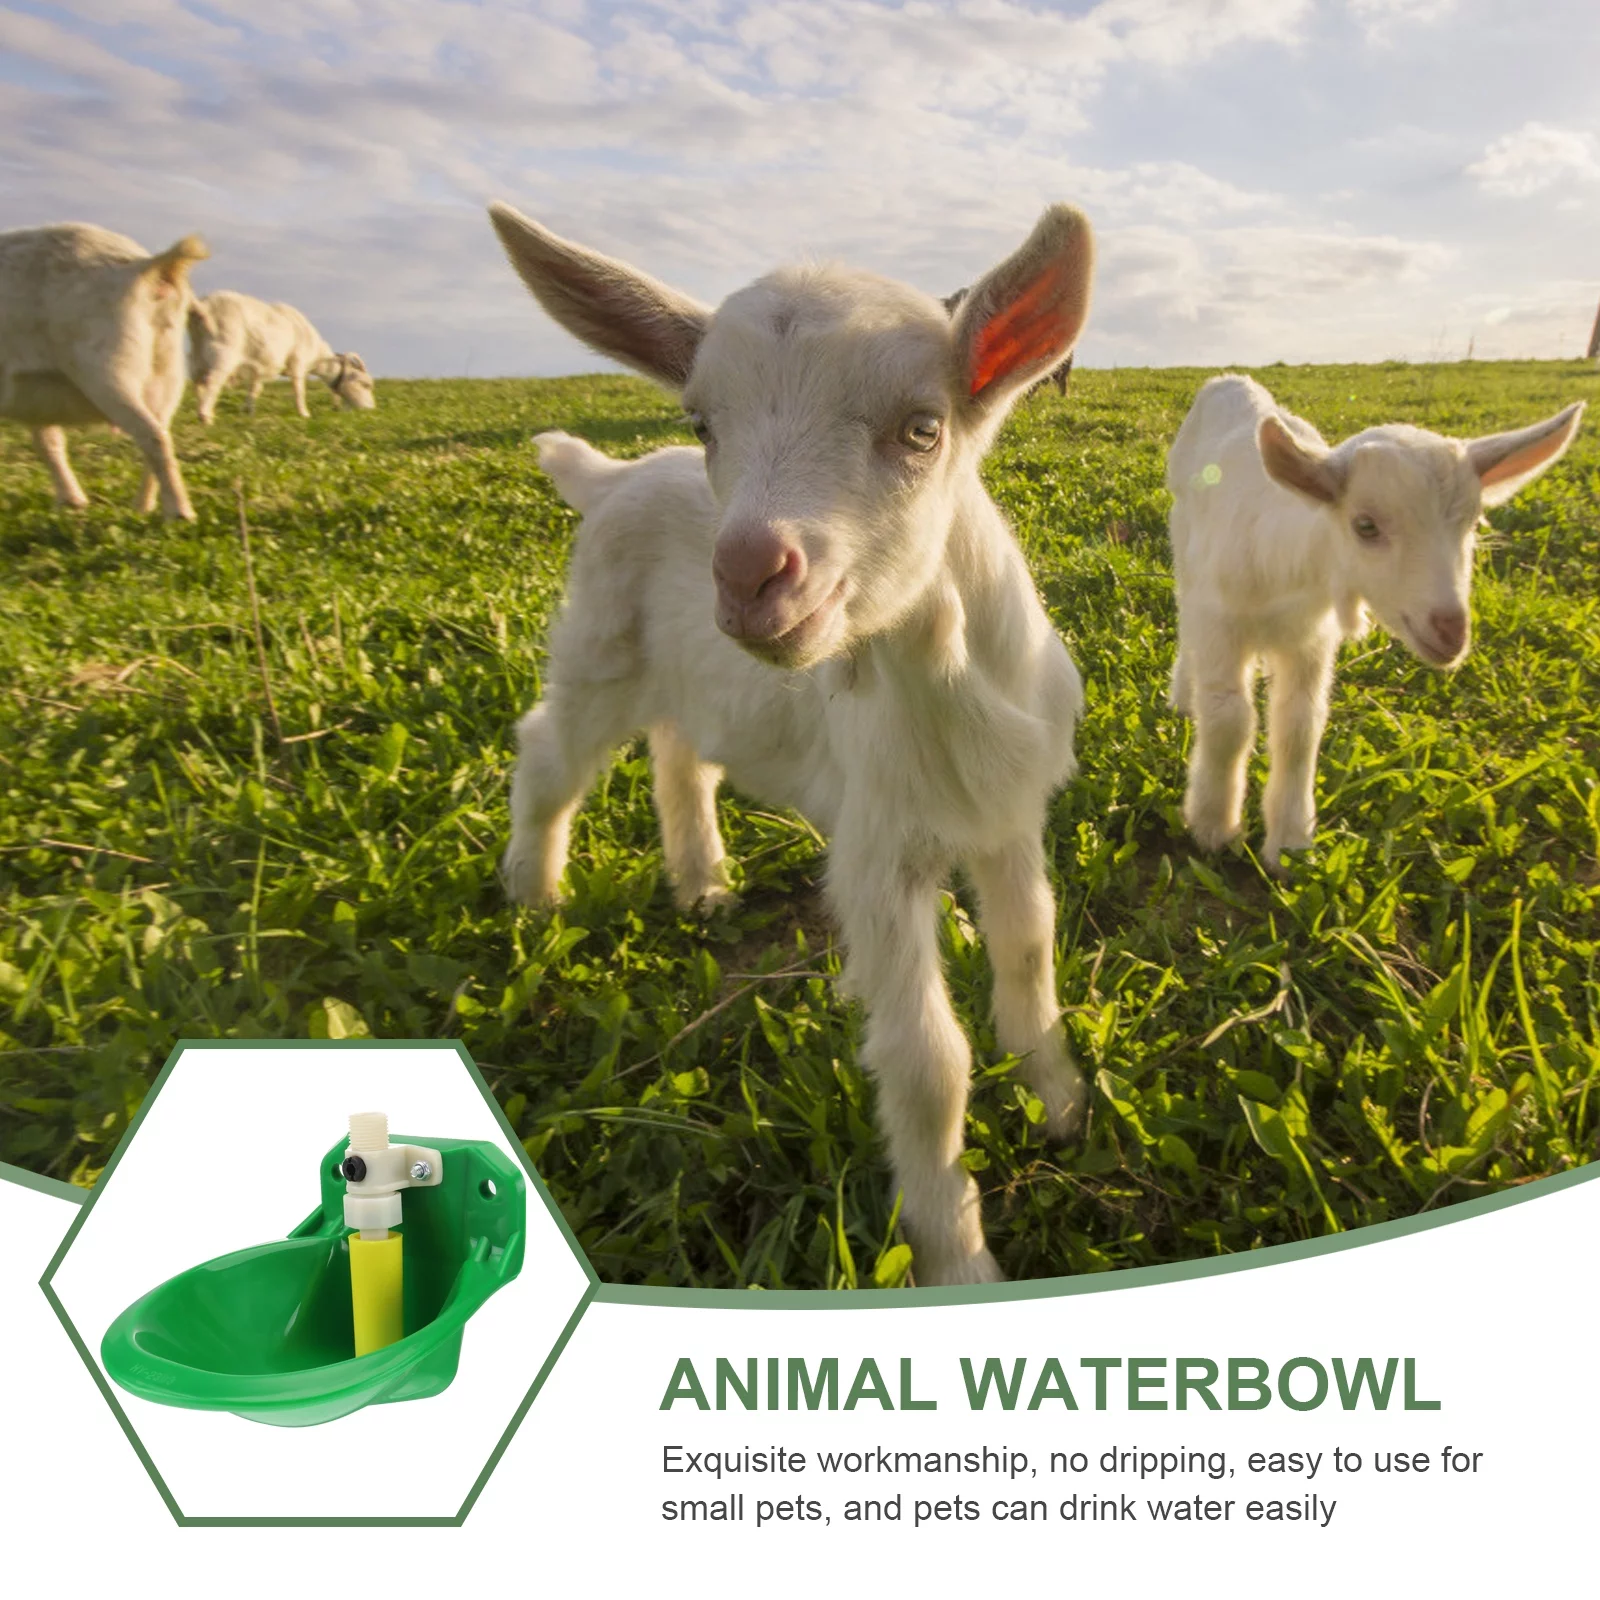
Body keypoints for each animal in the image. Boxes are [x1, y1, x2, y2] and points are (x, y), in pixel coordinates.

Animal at [0, 222, 208, 520]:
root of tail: (147, 267)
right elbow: (48, 441)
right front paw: (72, 503)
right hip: (167, 371)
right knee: (161, 430)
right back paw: (142, 507)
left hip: (107, 367)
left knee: (152, 435)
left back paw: (179, 514)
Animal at [188, 291, 375, 423]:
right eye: (365, 384)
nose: (370, 409)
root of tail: (204, 307)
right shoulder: (298, 362)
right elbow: (299, 389)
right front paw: (304, 414)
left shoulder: (260, 366)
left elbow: (255, 389)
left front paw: (248, 412)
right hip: (223, 352)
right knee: (213, 381)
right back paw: (205, 416)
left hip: (197, 354)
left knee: (197, 382)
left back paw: (201, 412)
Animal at [489, 199, 1096, 1285]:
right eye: (703, 422)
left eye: (921, 428)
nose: (748, 573)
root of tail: (608, 477)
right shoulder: (877, 850)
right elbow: (927, 1061)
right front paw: (956, 1257)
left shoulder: (1008, 810)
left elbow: (1030, 947)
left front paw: (1058, 1101)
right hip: (599, 647)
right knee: (552, 751)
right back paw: (535, 893)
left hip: (687, 677)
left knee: (680, 752)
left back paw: (702, 883)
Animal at [1166, 373, 1585, 870]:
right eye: (1365, 526)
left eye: (1472, 523)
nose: (1450, 631)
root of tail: (1232, 380)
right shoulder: (1220, 622)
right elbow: (1229, 719)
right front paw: (1213, 827)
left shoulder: (1311, 639)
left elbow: (1299, 725)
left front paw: (1289, 844)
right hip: (1182, 535)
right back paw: (1183, 696)